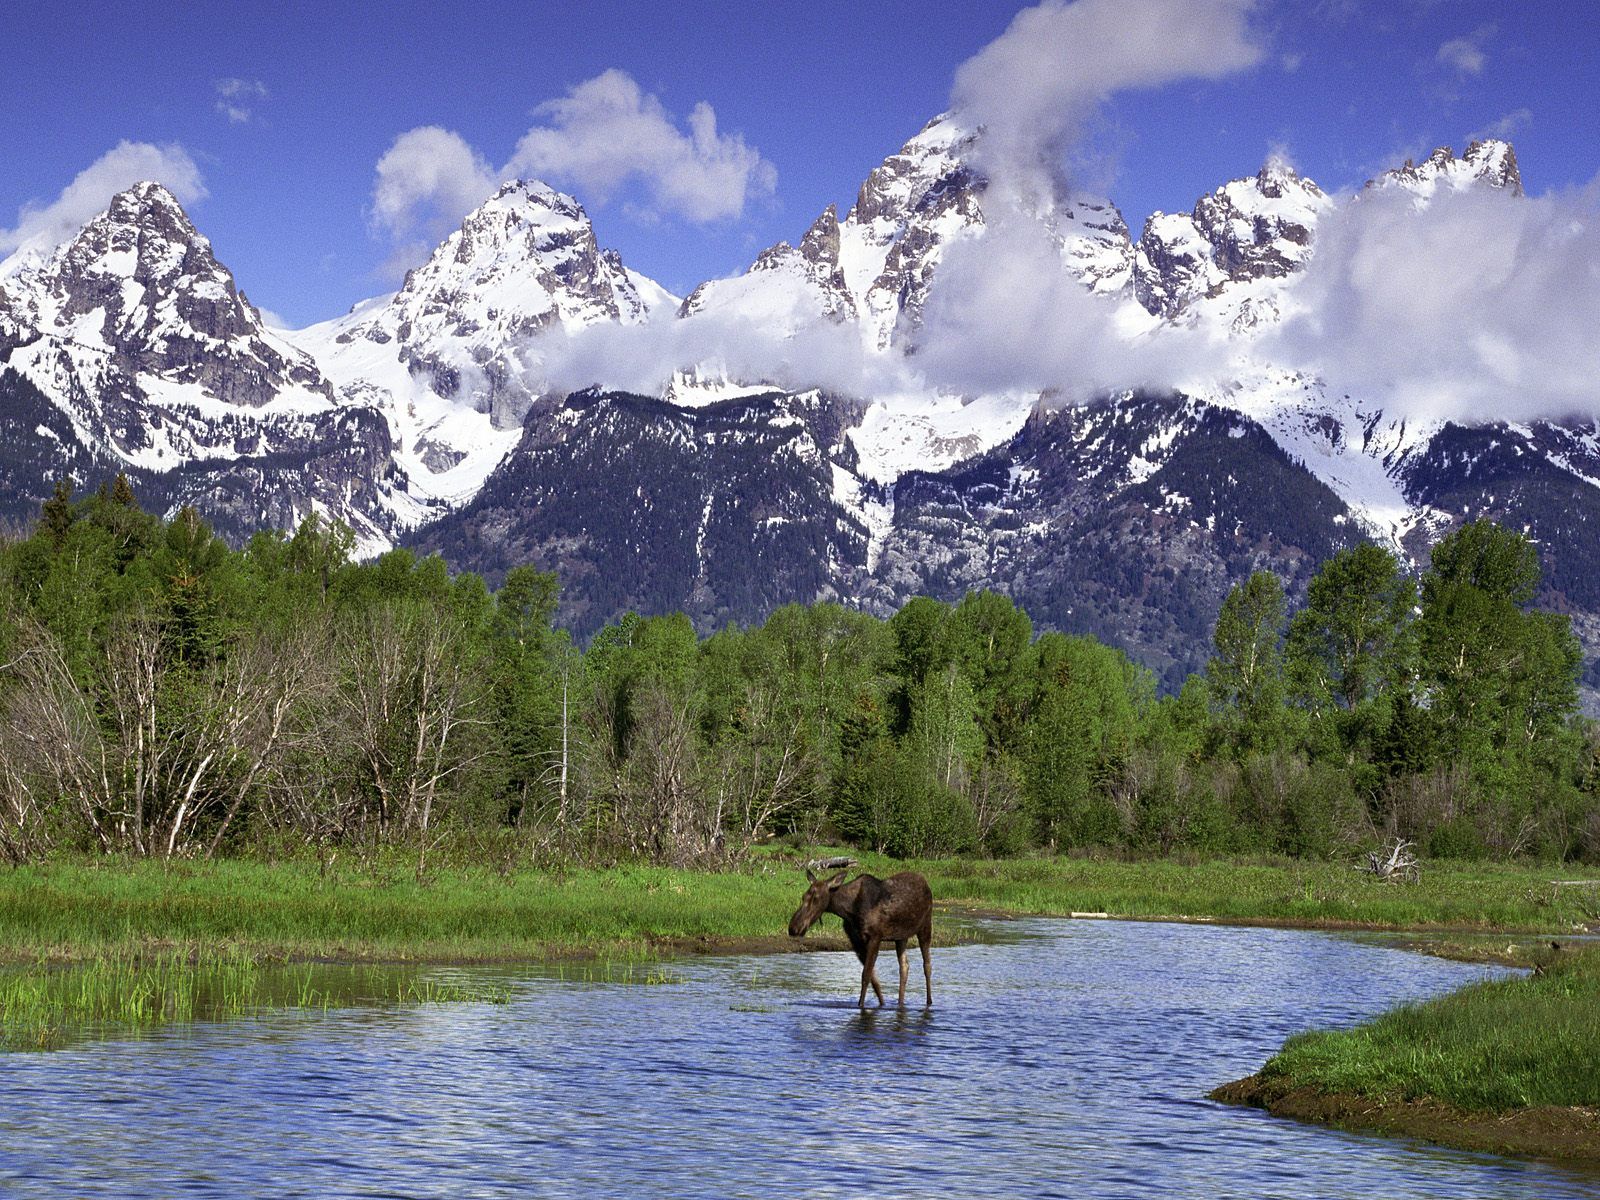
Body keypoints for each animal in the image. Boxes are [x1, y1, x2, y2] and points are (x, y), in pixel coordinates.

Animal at [784, 857, 934, 1011]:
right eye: (803, 897)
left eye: (816, 898)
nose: (794, 927)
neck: (849, 910)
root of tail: (926, 883)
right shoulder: (856, 940)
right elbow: (873, 979)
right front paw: (882, 1003)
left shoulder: (875, 937)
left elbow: (866, 976)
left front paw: (861, 1005)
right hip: (901, 936)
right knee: (904, 966)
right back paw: (900, 1003)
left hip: (925, 925)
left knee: (927, 965)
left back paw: (929, 1001)